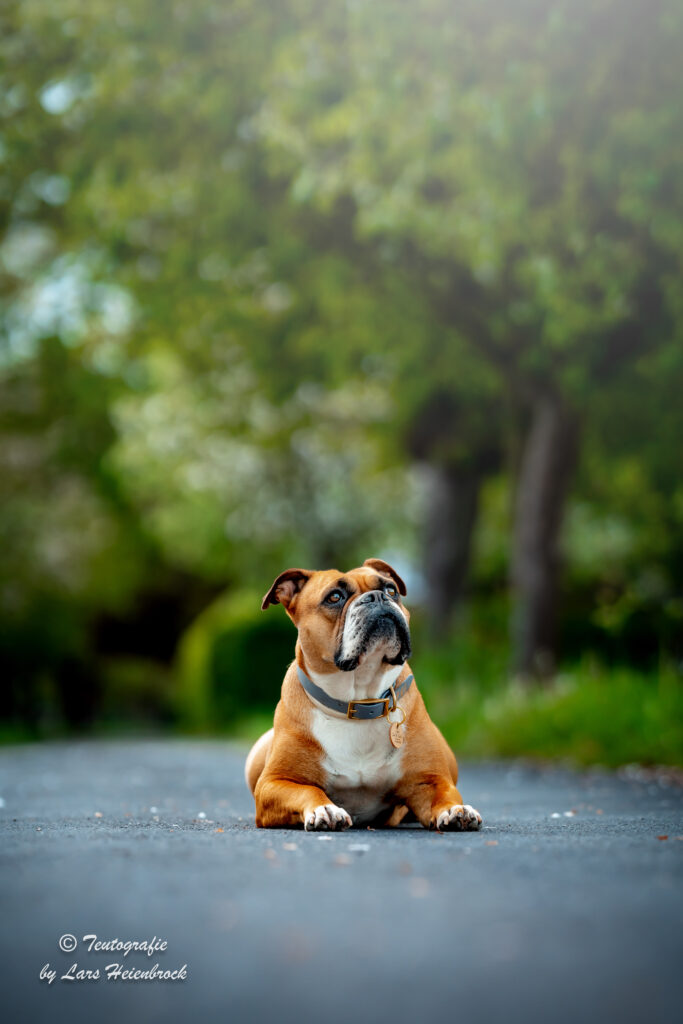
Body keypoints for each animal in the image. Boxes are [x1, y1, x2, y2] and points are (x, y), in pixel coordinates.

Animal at [244, 561, 481, 831]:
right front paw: (325, 809)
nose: (377, 597)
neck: (359, 700)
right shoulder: (274, 783)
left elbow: (444, 795)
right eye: (334, 597)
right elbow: (308, 791)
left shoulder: (430, 779)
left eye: (391, 590)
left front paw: (455, 810)